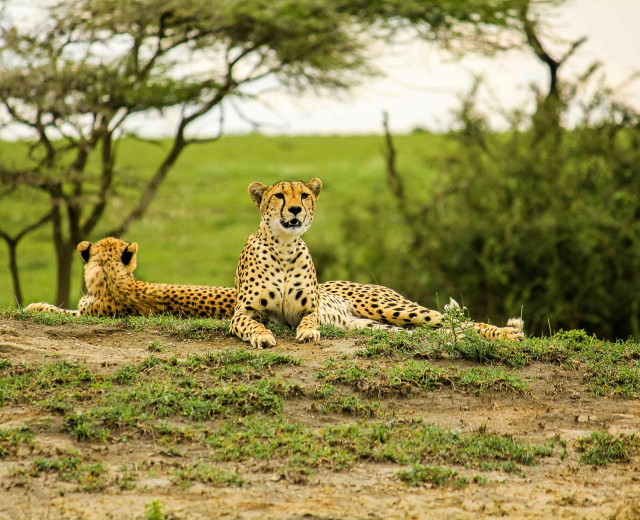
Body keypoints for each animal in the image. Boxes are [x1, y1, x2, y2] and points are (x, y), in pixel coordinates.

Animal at [228, 177, 524, 348]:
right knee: (444, 330)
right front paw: (262, 335)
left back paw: (507, 334)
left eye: (304, 195)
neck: (284, 246)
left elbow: (310, 320)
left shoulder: (309, 309)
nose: (295, 210)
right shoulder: (242, 313)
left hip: (390, 308)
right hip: (380, 325)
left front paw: (308, 333)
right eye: (279, 196)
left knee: (457, 321)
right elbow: (252, 324)